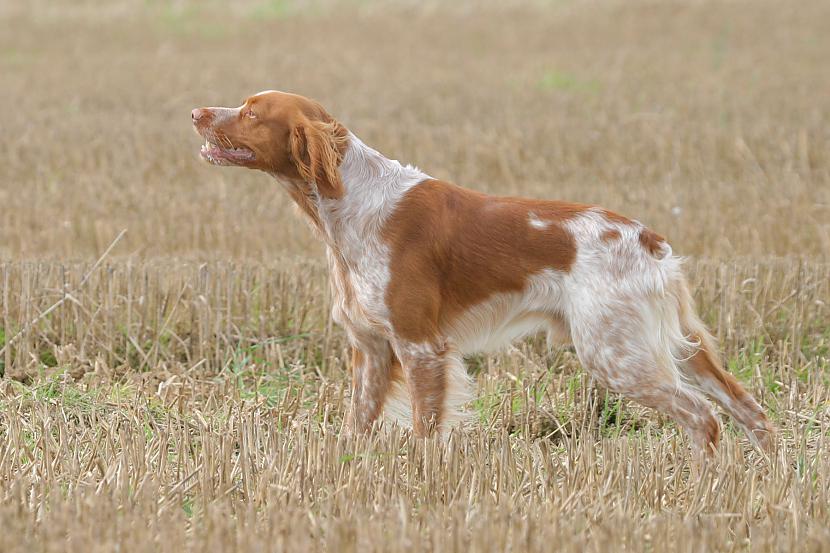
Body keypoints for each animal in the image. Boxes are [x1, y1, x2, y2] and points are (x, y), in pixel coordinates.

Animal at [192, 89, 776, 452]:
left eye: (251, 112)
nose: (197, 112)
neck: (350, 204)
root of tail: (649, 240)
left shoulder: (421, 346)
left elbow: (426, 429)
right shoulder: (371, 349)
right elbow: (357, 424)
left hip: (616, 354)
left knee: (703, 417)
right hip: (677, 348)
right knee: (750, 410)